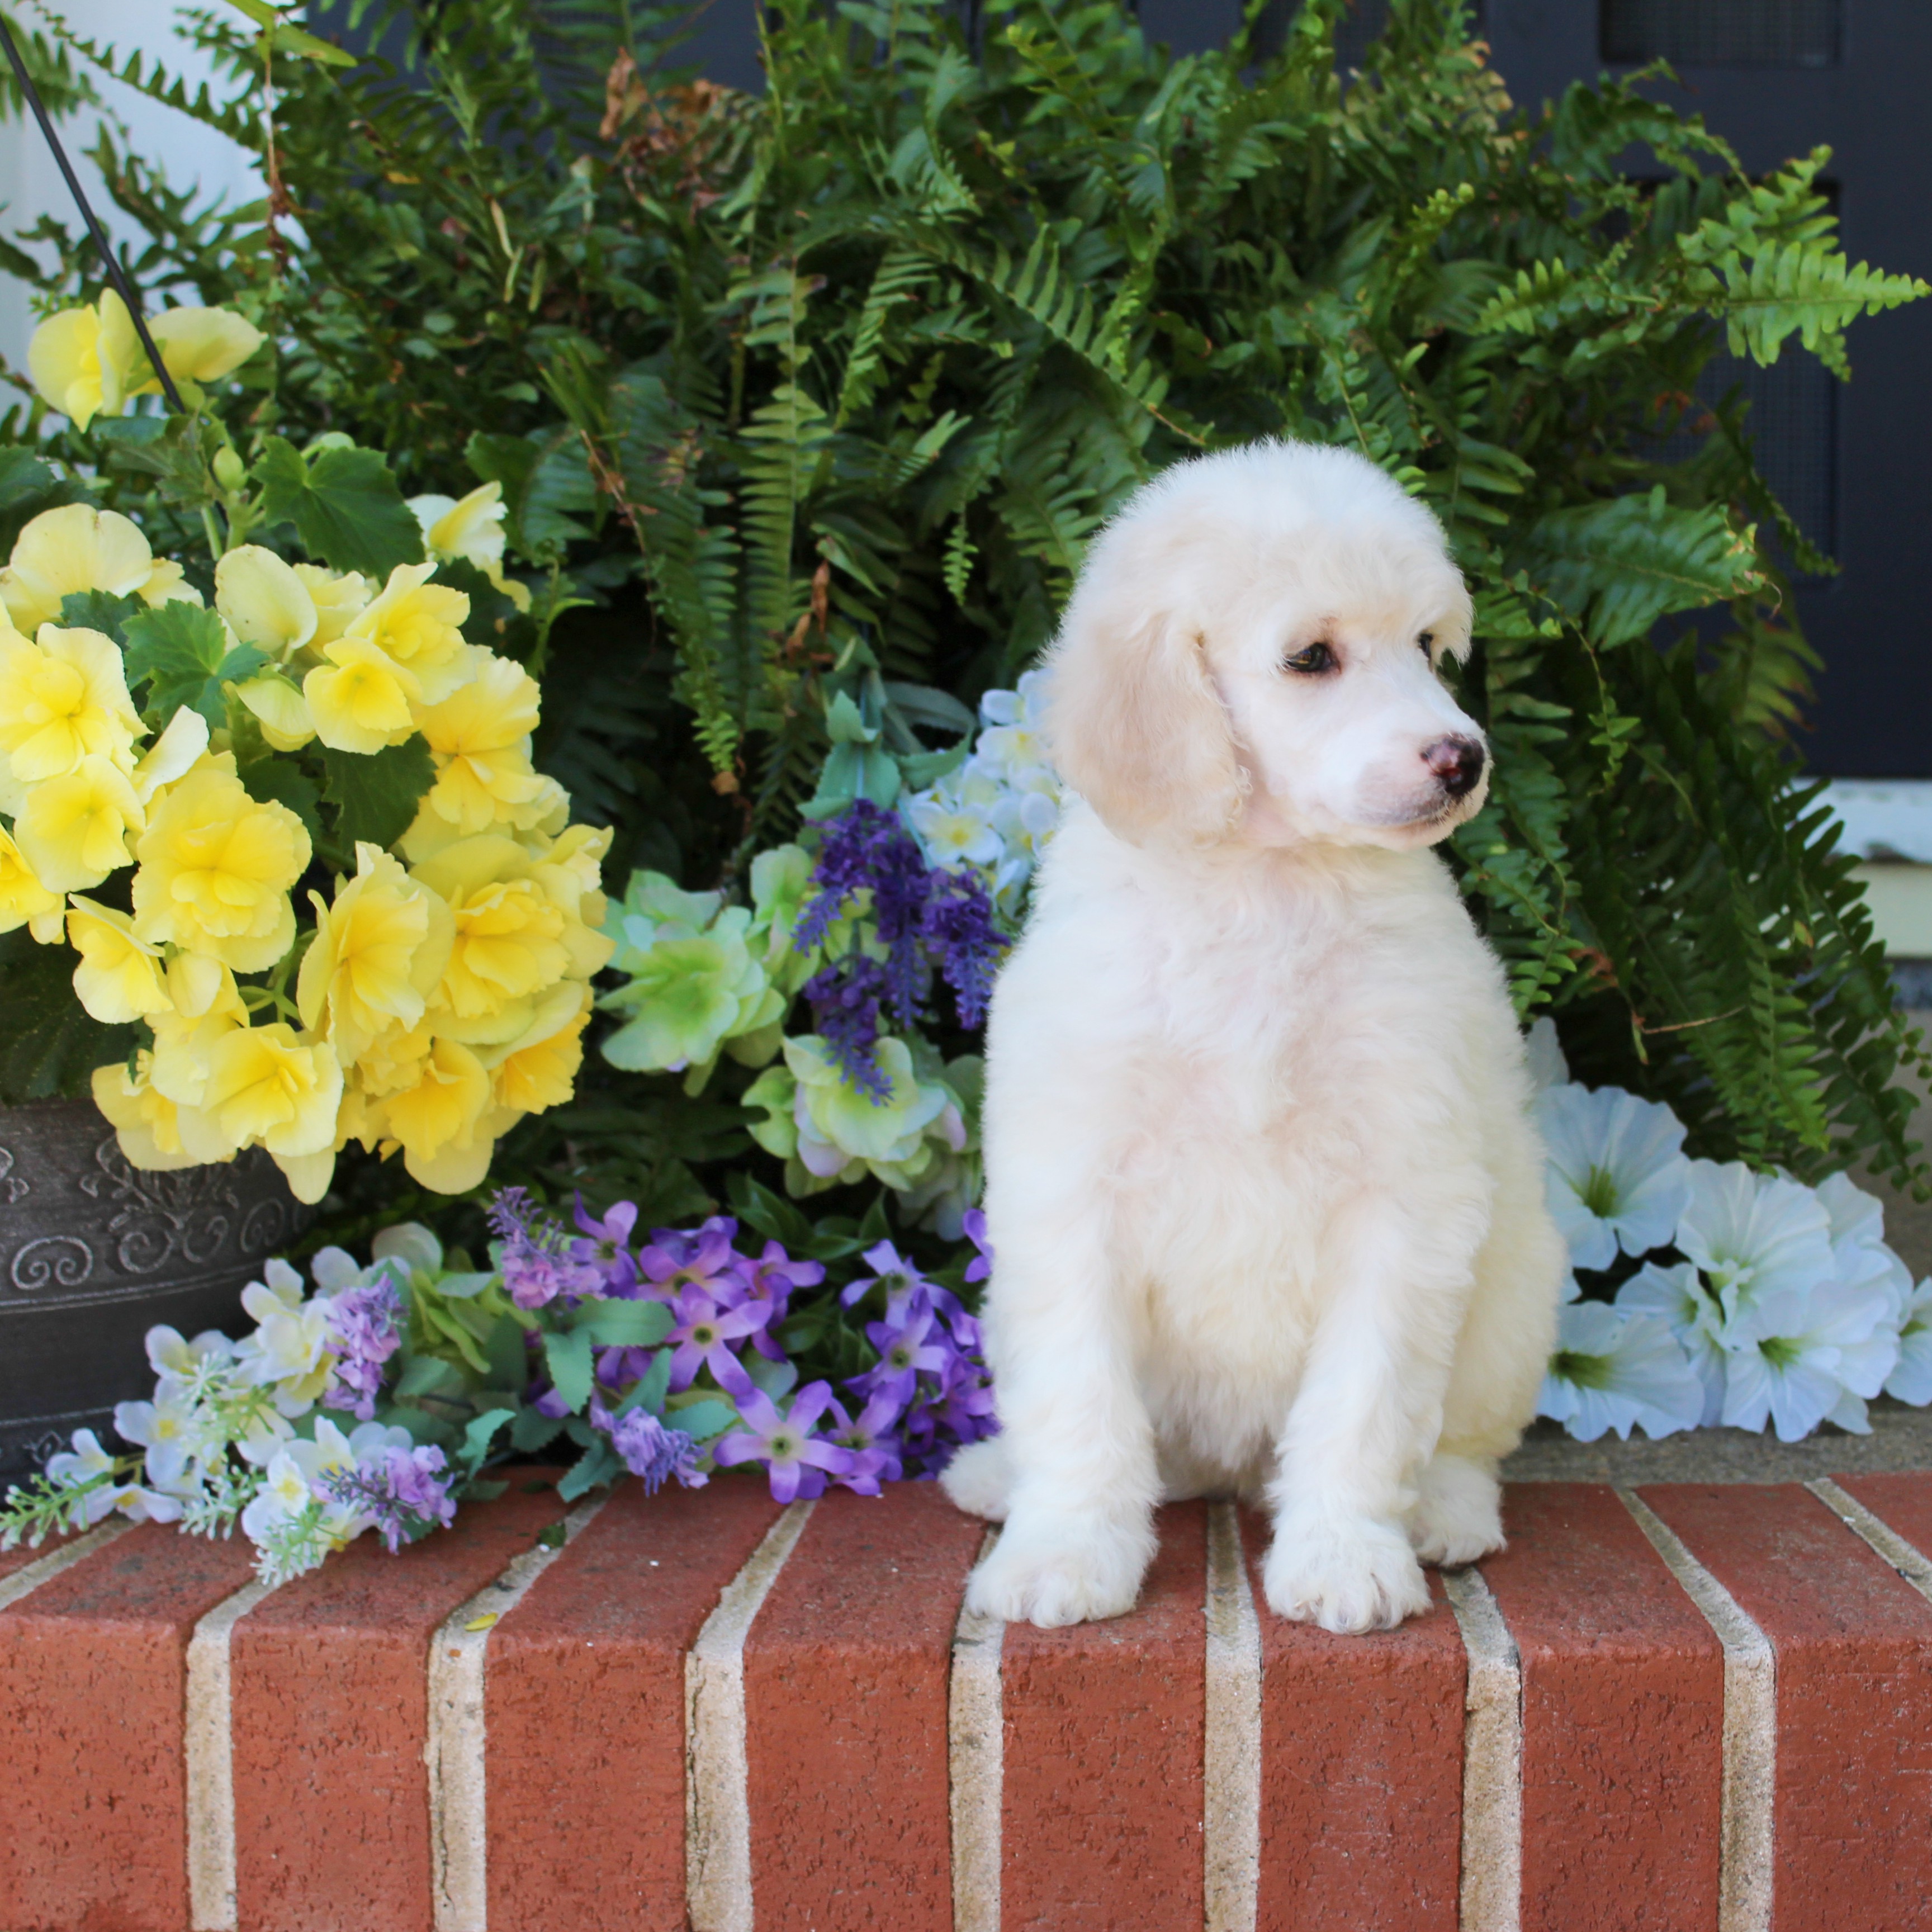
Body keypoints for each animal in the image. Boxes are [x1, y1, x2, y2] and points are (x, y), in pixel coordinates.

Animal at [943, 438, 1561, 1630]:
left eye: (1427, 646)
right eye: (1312, 658)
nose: (1461, 757)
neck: (1266, 884)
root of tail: (1222, 1476)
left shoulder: (1403, 1196)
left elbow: (1365, 1405)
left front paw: (1344, 1558)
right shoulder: (1072, 1188)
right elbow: (1080, 1399)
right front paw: (1066, 1552)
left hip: (1514, 1291)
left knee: (1466, 1440)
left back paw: (1444, 1514)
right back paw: (1000, 1478)